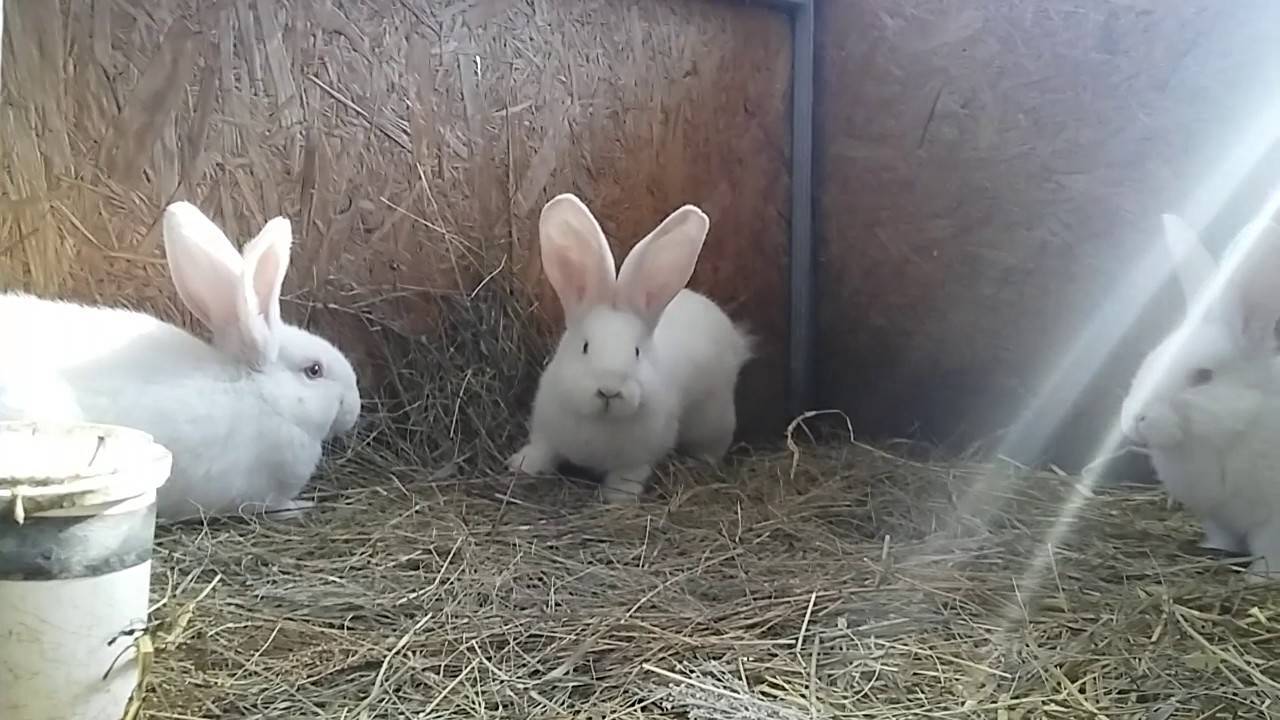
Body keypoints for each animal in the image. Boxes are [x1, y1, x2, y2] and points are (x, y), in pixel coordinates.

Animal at [507, 193, 752, 504]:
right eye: (585, 347)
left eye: (636, 352)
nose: (609, 390)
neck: (601, 422)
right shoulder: (546, 432)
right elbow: (543, 450)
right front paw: (521, 465)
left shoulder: (638, 459)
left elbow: (628, 475)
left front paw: (619, 497)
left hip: (714, 417)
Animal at [1120, 211, 1280, 581]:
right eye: (1153, 358)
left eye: (1203, 376)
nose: (1136, 419)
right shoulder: (1216, 517)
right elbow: (1222, 537)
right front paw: (1214, 550)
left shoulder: (1273, 522)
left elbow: (1269, 551)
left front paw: (1259, 577)